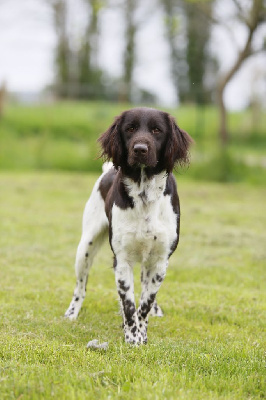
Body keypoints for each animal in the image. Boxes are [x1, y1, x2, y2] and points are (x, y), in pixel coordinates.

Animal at [65, 106, 192, 344]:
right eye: (130, 128)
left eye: (157, 130)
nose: (140, 149)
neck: (145, 195)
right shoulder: (122, 259)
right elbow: (129, 304)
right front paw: (132, 337)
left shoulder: (160, 260)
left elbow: (145, 302)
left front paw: (141, 333)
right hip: (85, 247)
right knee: (81, 286)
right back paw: (71, 313)